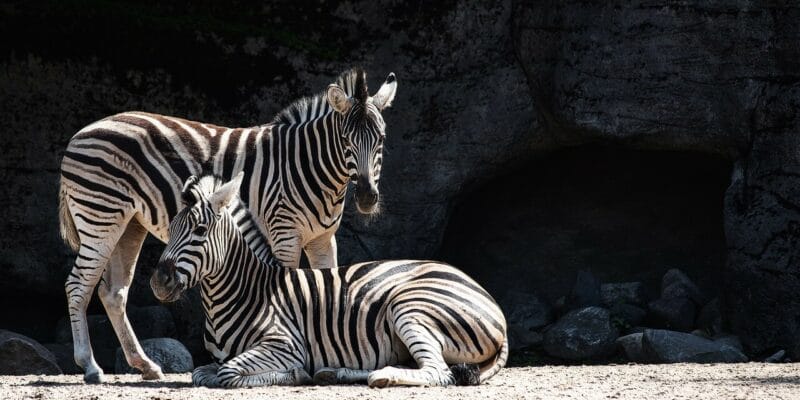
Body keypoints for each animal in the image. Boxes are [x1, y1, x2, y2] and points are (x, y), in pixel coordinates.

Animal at [57, 69, 396, 384]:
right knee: (77, 285)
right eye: (346, 140)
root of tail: (80, 134)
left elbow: (328, 282)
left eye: (381, 139)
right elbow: (291, 285)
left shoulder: (323, 238)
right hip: (100, 216)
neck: (310, 166)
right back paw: (90, 366)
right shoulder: (284, 232)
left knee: (113, 292)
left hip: (129, 224)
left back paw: (145, 365)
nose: (367, 197)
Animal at [150, 174, 506, 388]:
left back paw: (383, 376)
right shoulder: (213, 361)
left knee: (438, 372)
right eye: (170, 230)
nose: (157, 282)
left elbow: (227, 373)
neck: (243, 294)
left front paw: (293, 374)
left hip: (410, 308)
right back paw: (336, 372)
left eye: (200, 231)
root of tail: (492, 302)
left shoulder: (286, 343)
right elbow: (201, 373)